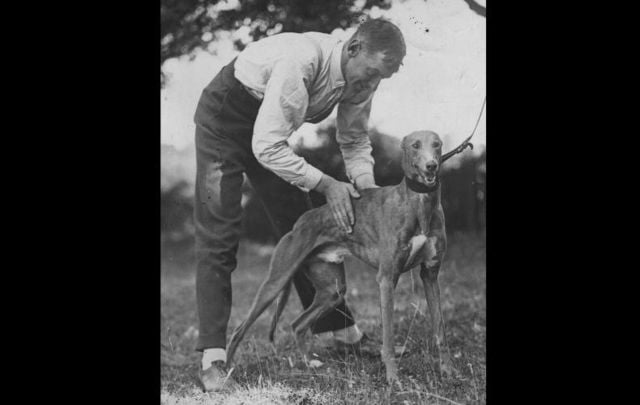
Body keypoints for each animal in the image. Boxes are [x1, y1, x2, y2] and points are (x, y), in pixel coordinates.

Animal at [228, 131, 452, 384]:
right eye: (415, 145)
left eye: (437, 144)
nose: (431, 165)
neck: (418, 205)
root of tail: (299, 223)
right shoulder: (387, 279)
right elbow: (388, 338)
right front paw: (393, 378)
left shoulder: (430, 275)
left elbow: (440, 331)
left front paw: (448, 371)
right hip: (275, 282)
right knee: (238, 331)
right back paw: (224, 373)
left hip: (332, 291)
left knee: (297, 324)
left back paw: (310, 363)